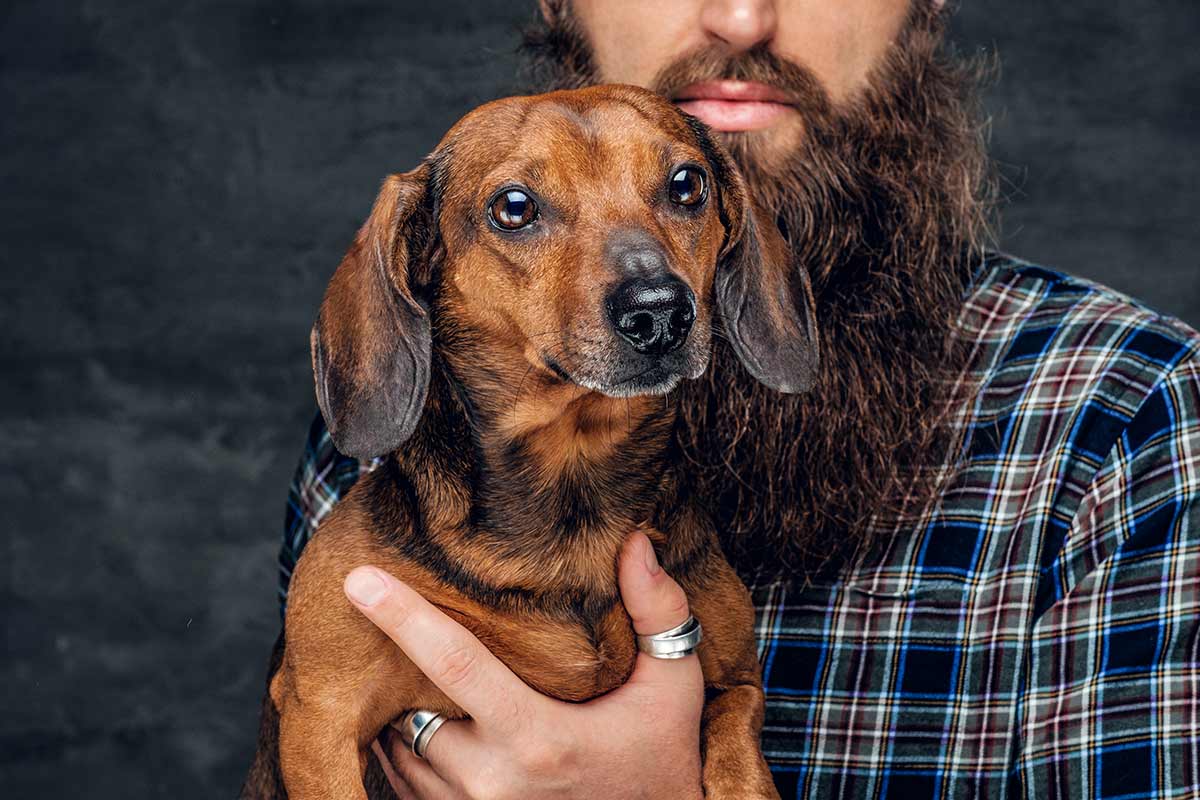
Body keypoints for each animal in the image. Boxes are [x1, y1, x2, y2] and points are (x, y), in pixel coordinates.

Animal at [241, 84, 825, 796]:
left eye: (687, 184)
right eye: (514, 208)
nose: (660, 311)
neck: (572, 497)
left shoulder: (738, 680)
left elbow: (739, 749)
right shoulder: (321, 714)